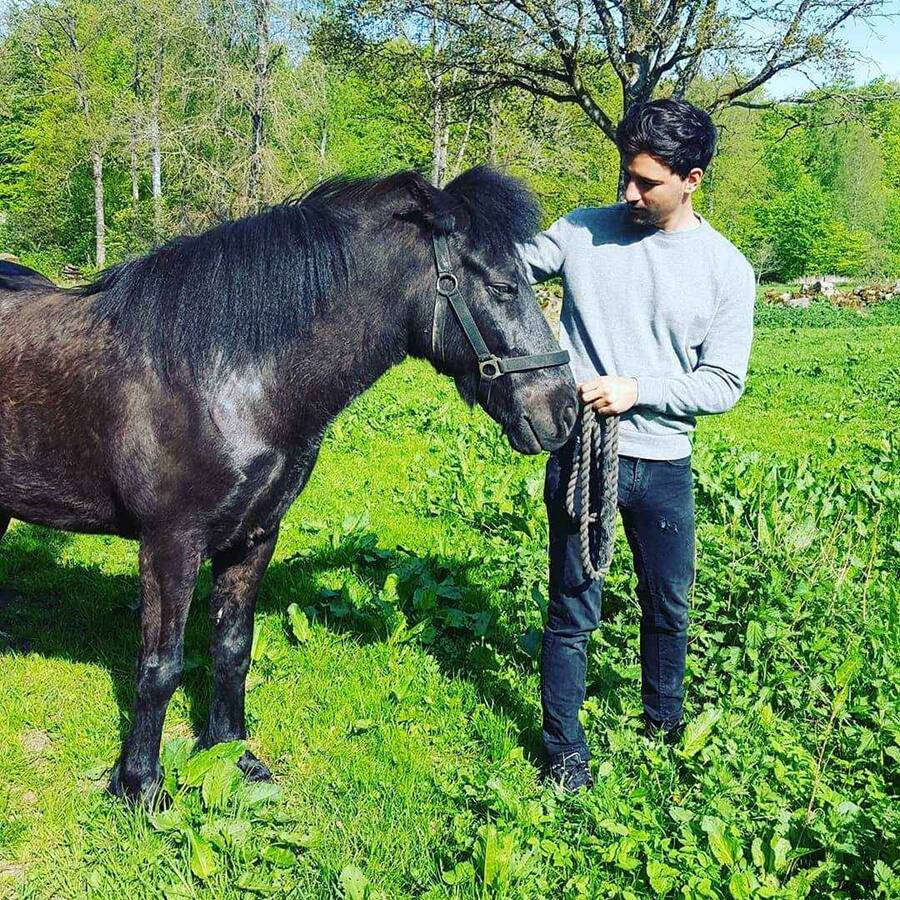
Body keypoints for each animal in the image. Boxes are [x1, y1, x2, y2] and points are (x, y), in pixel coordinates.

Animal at [0, 165, 576, 800]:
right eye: (502, 286)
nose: (563, 409)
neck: (226, 376)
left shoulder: (255, 536)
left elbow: (231, 649)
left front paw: (233, 757)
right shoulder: (170, 543)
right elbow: (159, 666)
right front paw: (140, 788)